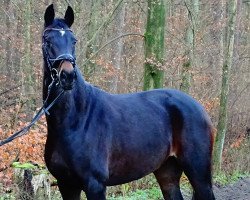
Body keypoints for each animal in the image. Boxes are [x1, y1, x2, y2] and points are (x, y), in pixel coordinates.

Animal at [42, 3, 215, 199]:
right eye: (47, 40)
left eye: (74, 41)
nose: (68, 76)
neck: (75, 120)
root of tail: (199, 108)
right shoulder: (66, 184)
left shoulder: (95, 184)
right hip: (167, 172)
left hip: (199, 173)